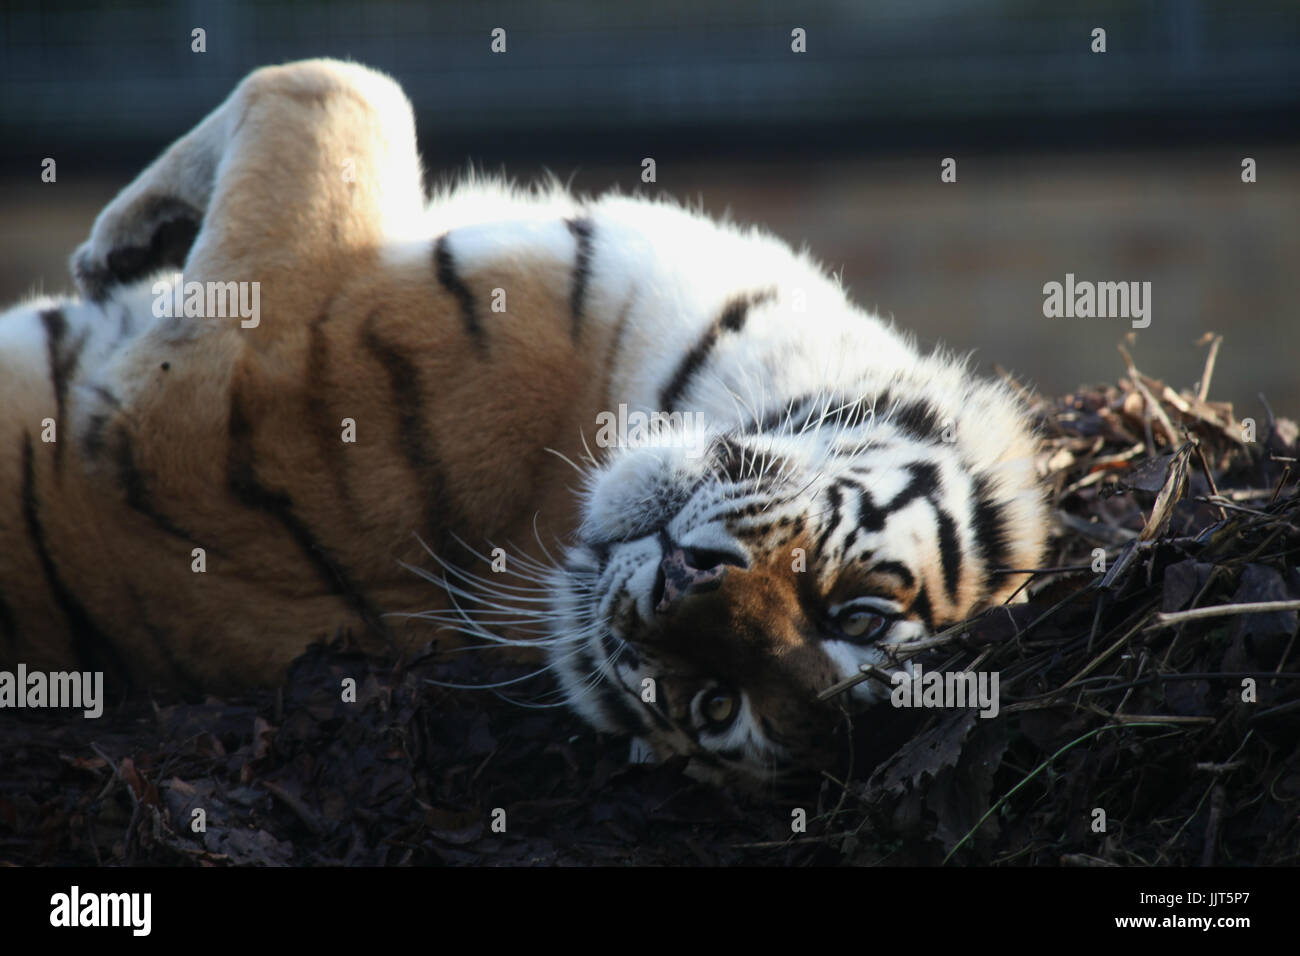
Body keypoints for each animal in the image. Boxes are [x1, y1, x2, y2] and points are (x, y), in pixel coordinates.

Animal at [0, 59, 1050, 790]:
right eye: (854, 609)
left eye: (714, 706)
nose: (679, 584)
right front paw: (132, 244)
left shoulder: (212, 373)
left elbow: (329, 85)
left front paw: (118, 241)